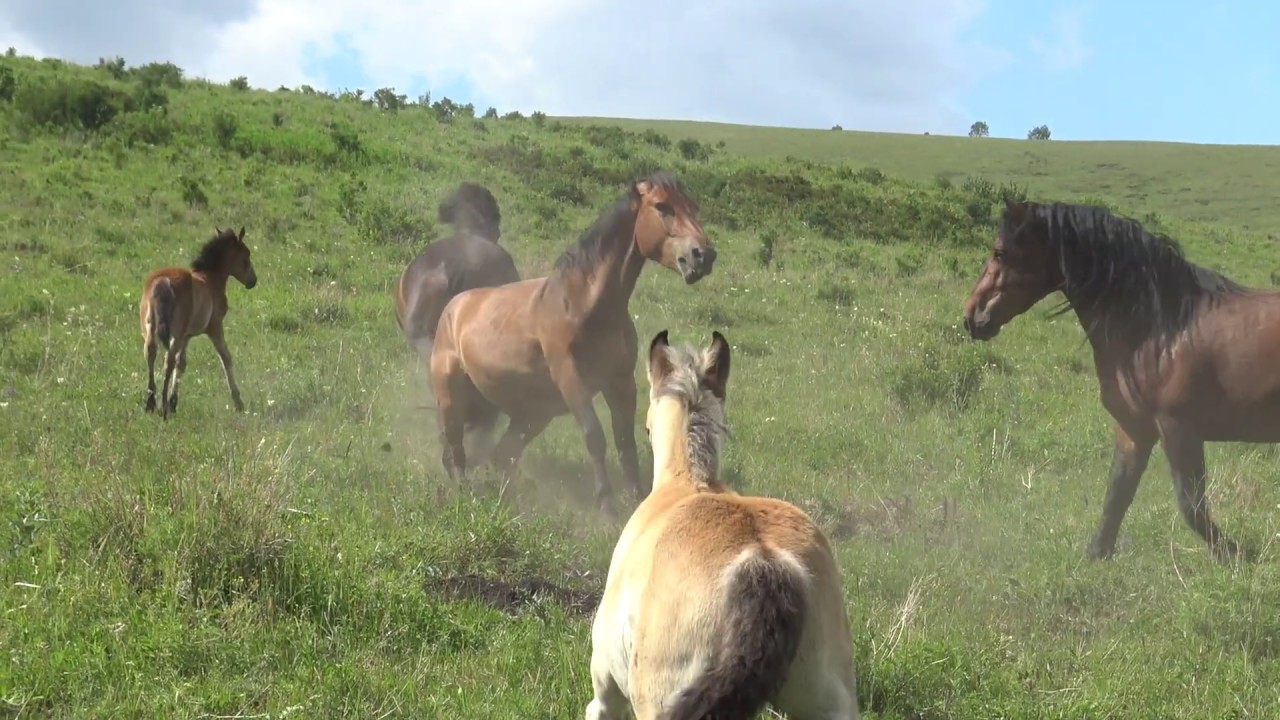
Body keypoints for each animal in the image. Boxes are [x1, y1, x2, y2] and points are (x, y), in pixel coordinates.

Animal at [139, 225, 257, 420]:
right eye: (246, 254)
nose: (253, 281)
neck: (210, 279)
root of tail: (163, 282)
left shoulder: (187, 336)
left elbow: (181, 364)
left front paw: (174, 402)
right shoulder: (215, 327)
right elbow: (225, 357)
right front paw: (238, 402)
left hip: (150, 329)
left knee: (151, 354)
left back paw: (150, 403)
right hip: (176, 333)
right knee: (167, 361)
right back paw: (163, 407)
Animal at [427, 170, 711, 512]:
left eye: (693, 207)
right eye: (662, 206)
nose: (703, 256)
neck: (584, 305)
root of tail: (454, 307)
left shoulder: (620, 383)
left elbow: (625, 443)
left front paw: (637, 503)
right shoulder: (573, 382)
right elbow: (595, 437)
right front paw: (607, 508)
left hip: (532, 415)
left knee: (500, 456)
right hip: (451, 395)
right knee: (456, 450)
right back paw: (467, 494)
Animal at [962, 196, 1280, 561]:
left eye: (999, 252)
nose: (972, 316)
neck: (1157, 329)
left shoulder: (1179, 428)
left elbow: (1191, 506)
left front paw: (1236, 556)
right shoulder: (1134, 429)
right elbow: (1117, 495)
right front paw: (1096, 556)